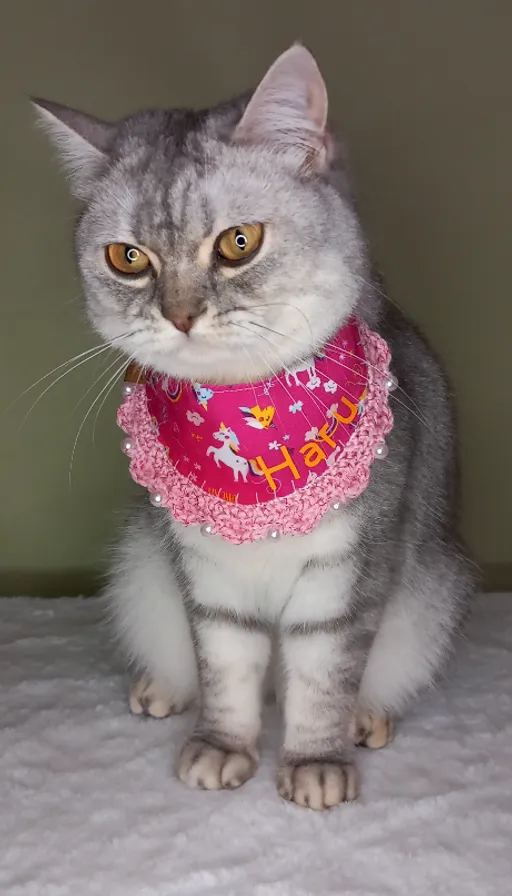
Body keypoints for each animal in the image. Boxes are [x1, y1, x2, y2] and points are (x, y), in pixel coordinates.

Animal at [34, 45, 476, 808]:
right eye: (127, 257)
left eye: (239, 242)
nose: (180, 314)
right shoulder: (206, 576)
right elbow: (226, 668)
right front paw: (221, 748)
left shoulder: (345, 575)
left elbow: (323, 678)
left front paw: (315, 763)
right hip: (141, 574)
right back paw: (160, 691)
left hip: (429, 605)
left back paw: (366, 719)